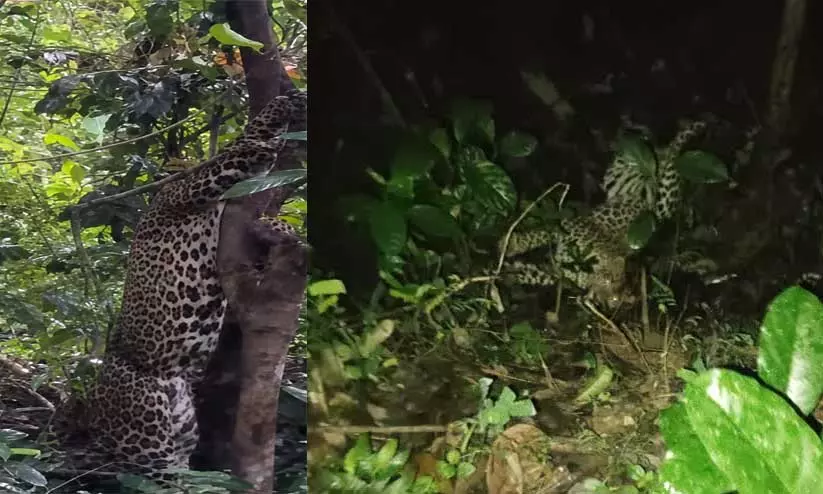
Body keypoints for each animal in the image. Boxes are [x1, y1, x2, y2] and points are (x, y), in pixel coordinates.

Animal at [51, 89, 307, 476]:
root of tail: (92, 401)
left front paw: (281, 228)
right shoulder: (205, 182)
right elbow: (244, 143)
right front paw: (279, 112)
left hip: (182, 428)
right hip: (148, 435)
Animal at [497, 120, 707, 308]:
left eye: (615, 300)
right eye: (609, 281)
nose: (598, 300)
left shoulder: (558, 273)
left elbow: (534, 273)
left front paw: (508, 272)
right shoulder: (568, 225)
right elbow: (538, 234)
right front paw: (511, 245)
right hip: (631, 171)